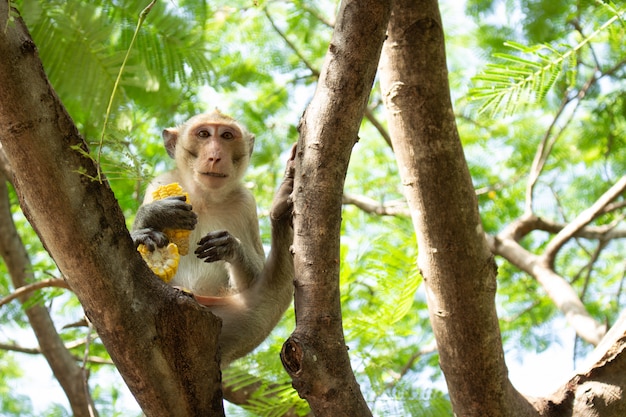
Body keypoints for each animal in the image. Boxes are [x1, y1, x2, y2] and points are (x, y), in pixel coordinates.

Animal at [131, 109, 292, 364]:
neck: (204, 197)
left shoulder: (245, 204)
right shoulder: (160, 183)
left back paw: (280, 212)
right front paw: (153, 216)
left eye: (226, 136)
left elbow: (251, 281)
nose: (215, 156)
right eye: (204, 134)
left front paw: (230, 248)